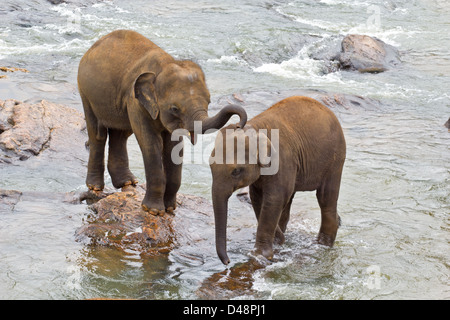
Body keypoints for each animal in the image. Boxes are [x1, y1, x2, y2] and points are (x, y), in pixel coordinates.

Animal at [77, 30, 246, 215]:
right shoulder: (136, 101)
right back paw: (95, 186)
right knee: (98, 133)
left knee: (120, 134)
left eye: (209, 101)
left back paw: (127, 183)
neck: (165, 65)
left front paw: (170, 208)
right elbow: (151, 144)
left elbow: (174, 147)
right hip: (86, 92)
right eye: (174, 108)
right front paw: (153, 211)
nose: (239, 125)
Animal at [209, 95, 346, 264]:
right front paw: (277, 242)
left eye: (236, 171)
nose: (228, 261)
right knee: (289, 201)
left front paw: (260, 255)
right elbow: (258, 198)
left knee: (325, 198)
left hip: (335, 159)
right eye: (210, 166)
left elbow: (275, 198)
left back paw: (322, 244)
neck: (255, 126)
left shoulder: (282, 159)